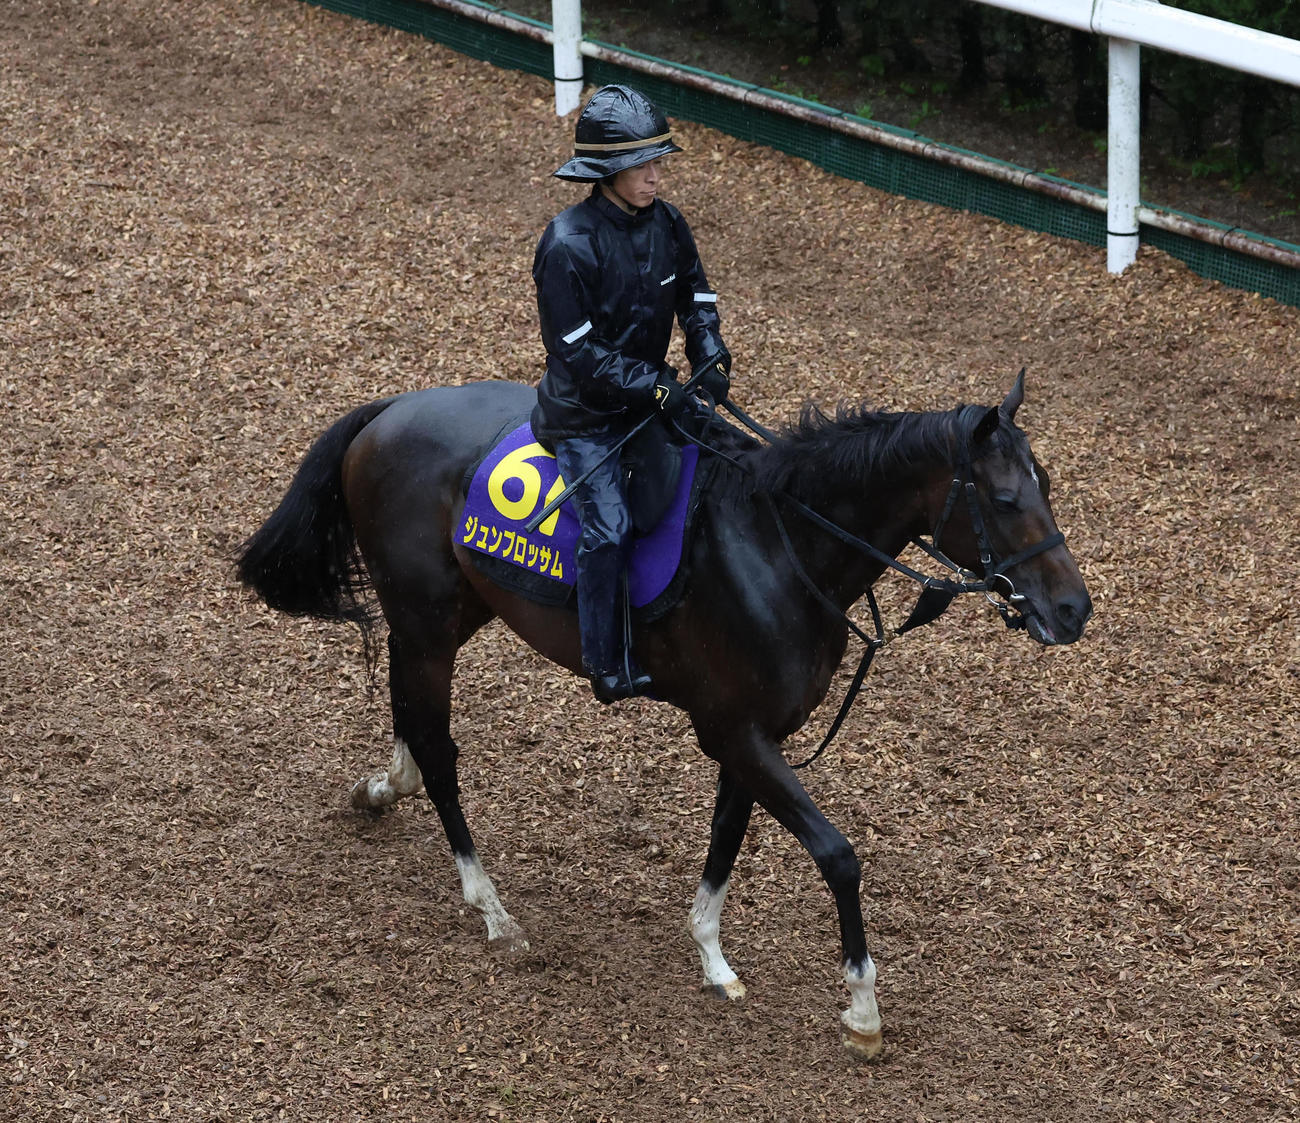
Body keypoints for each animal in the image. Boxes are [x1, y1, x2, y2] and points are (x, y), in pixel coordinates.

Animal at [235, 372, 1091, 1059]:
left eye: (1046, 484)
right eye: (1006, 499)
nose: (1074, 610)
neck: (781, 545)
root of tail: (389, 410)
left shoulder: (753, 734)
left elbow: (727, 837)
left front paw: (713, 956)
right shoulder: (736, 731)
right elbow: (838, 855)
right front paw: (862, 1012)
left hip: (452, 612)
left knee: (410, 711)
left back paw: (385, 787)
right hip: (426, 613)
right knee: (440, 748)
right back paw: (492, 908)